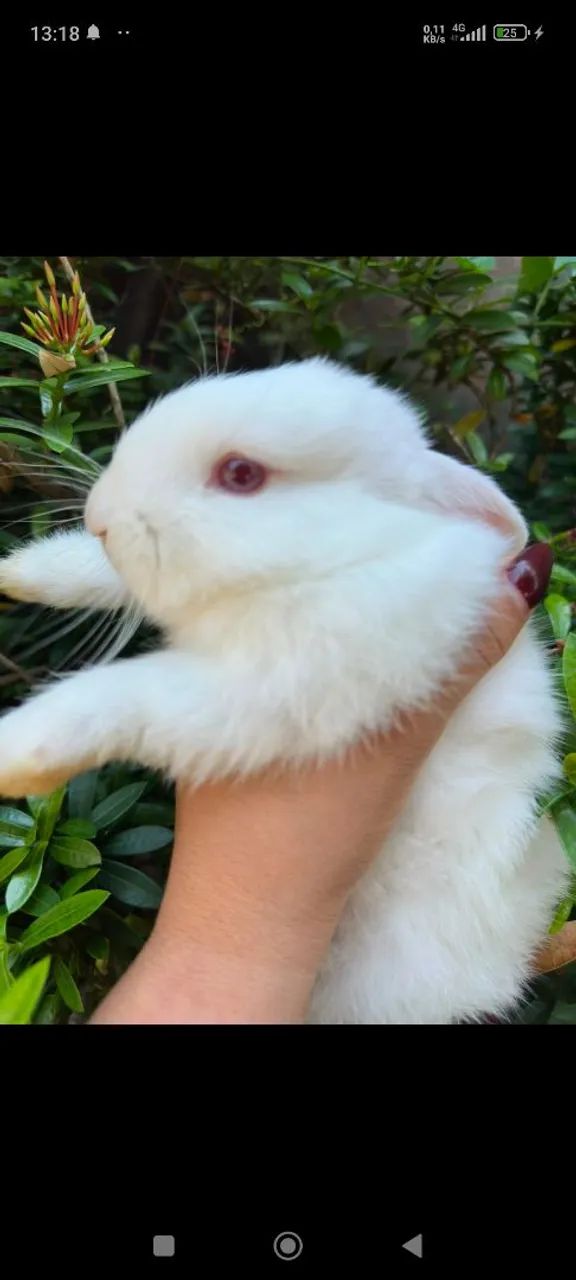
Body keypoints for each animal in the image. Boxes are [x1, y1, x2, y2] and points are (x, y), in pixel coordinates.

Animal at [0, 357, 569, 1023]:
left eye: (241, 474)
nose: (99, 517)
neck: (332, 562)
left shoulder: (272, 691)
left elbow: (127, 696)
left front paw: (17, 754)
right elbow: (102, 575)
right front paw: (21, 571)